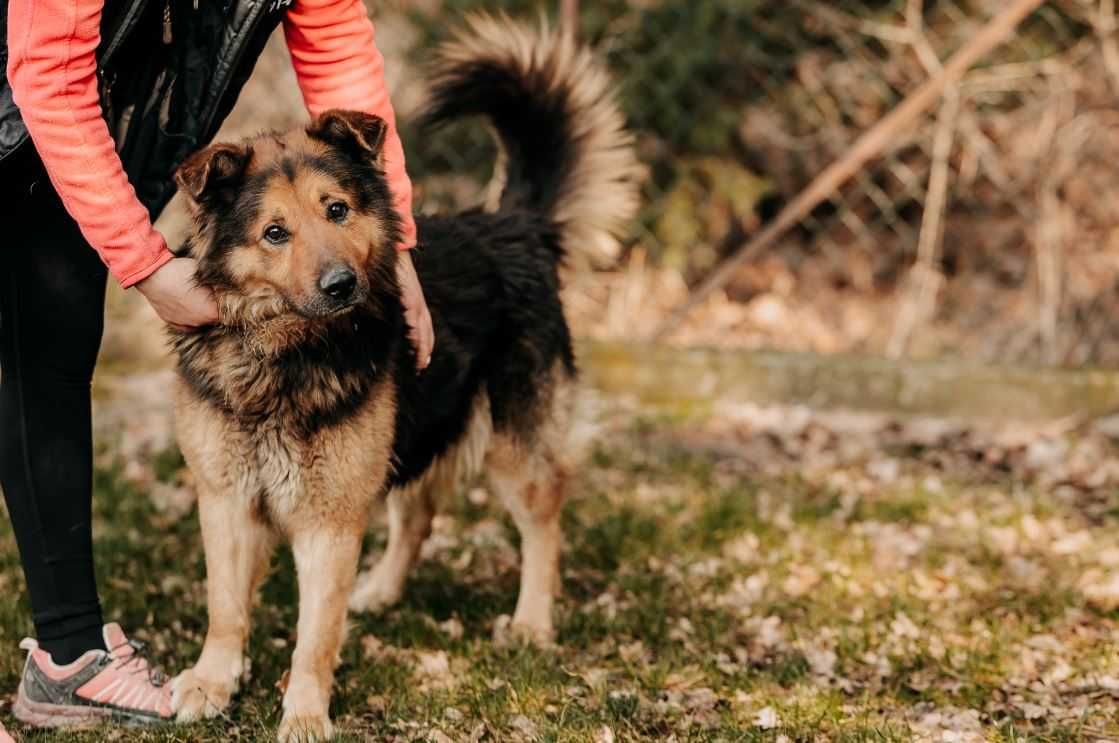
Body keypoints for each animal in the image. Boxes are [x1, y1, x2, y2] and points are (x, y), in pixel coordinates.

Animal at [163, 17, 640, 743]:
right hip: (407, 428)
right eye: (274, 232)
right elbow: (225, 606)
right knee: (416, 511)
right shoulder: (225, 499)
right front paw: (213, 681)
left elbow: (314, 635)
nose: (341, 285)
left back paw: (532, 621)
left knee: (542, 521)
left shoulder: (329, 519)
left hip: (511, 445)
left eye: (336, 211)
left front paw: (305, 713)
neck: (282, 356)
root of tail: (513, 221)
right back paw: (382, 590)